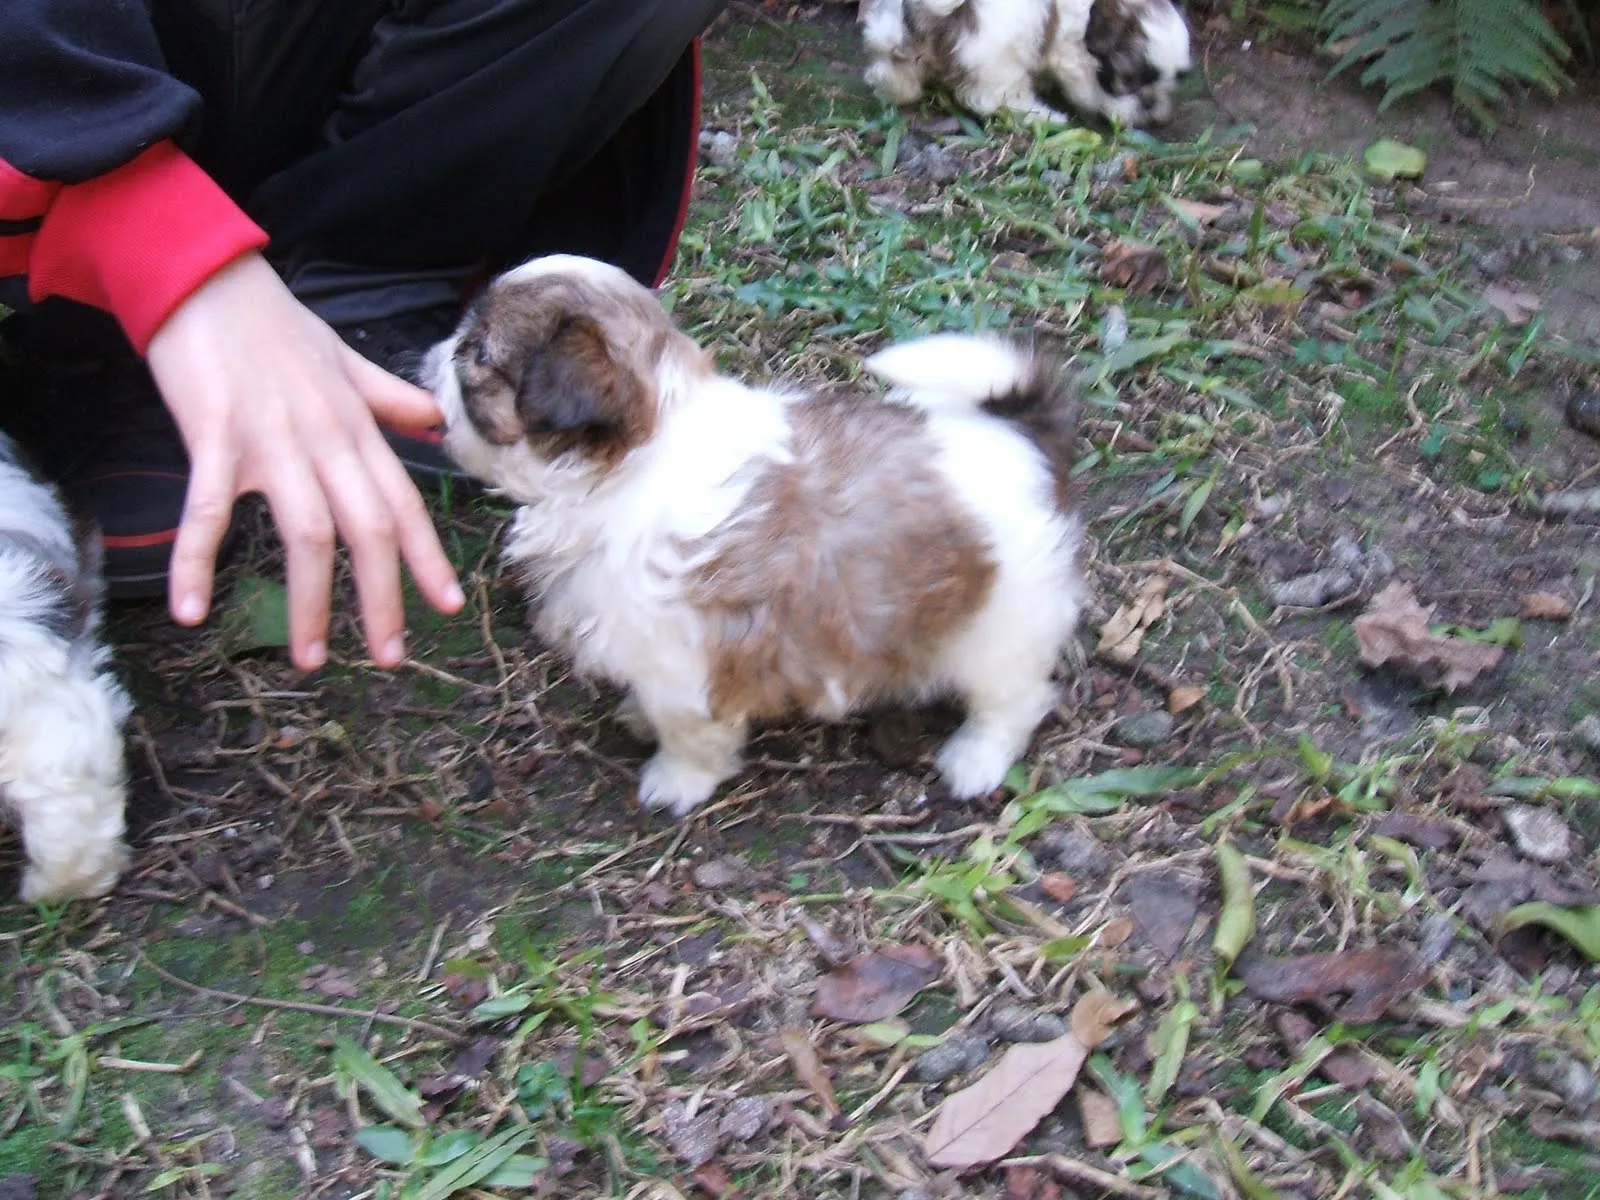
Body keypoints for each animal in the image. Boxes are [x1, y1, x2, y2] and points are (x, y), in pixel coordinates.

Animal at [428, 254, 1088, 819]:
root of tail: (1022, 433)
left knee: (1013, 698)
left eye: (476, 355)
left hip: (1002, 623)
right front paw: (638, 714)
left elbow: (691, 733)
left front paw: (676, 779)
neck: (636, 462)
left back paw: (976, 757)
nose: (432, 357)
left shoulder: (690, 663)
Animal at [864, 0, 1190, 128]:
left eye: (1172, 80)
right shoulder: (1072, 53)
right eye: (1129, 79)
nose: (1152, 104)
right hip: (1006, 48)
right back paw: (1045, 116)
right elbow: (1088, 88)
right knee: (994, 100)